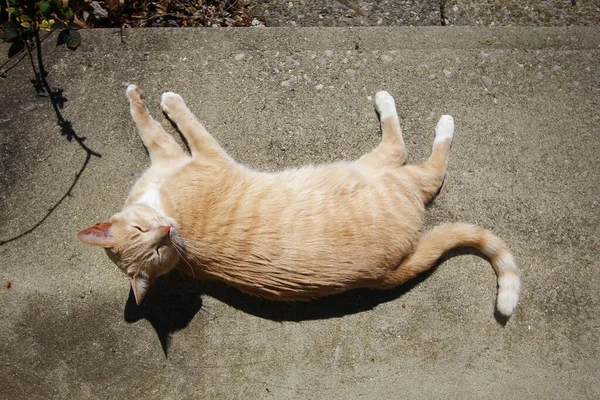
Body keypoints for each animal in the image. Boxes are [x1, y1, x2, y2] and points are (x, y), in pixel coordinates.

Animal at [78, 85, 520, 318]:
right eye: (156, 248)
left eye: (149, 234)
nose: (168, 230)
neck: (168, 206)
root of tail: (389, 270)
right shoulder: (201, 155)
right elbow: (178, 123)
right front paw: (167, 102)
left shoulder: (172, 155)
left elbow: (152, 125)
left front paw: (143, 99)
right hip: (379, 170)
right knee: (414, 156)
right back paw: (418, 114)